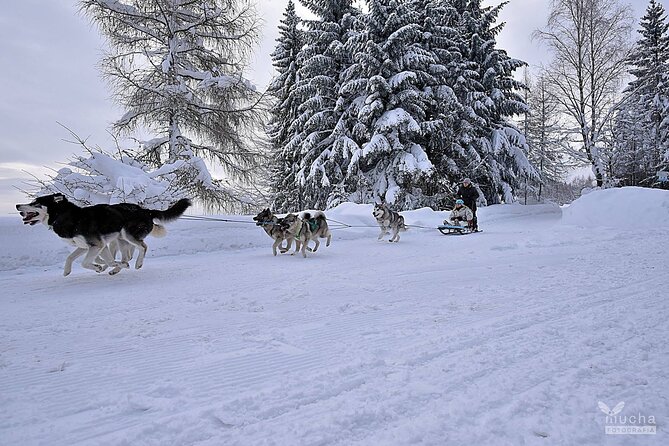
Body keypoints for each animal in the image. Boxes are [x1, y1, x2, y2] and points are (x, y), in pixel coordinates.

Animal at [17, 194, 190, 276]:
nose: (17, 205)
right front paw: (67, 271)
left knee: (143, 247)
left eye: (36, 203)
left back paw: (137, 264)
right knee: (127, 256)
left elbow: (86, 263)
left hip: (127, 234)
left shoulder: (97, 245)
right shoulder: (88, 246)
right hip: (120, 239)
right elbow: (70, 258)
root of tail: (146, 210)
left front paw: (99, 267)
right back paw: (116, 269)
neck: (66, 217)